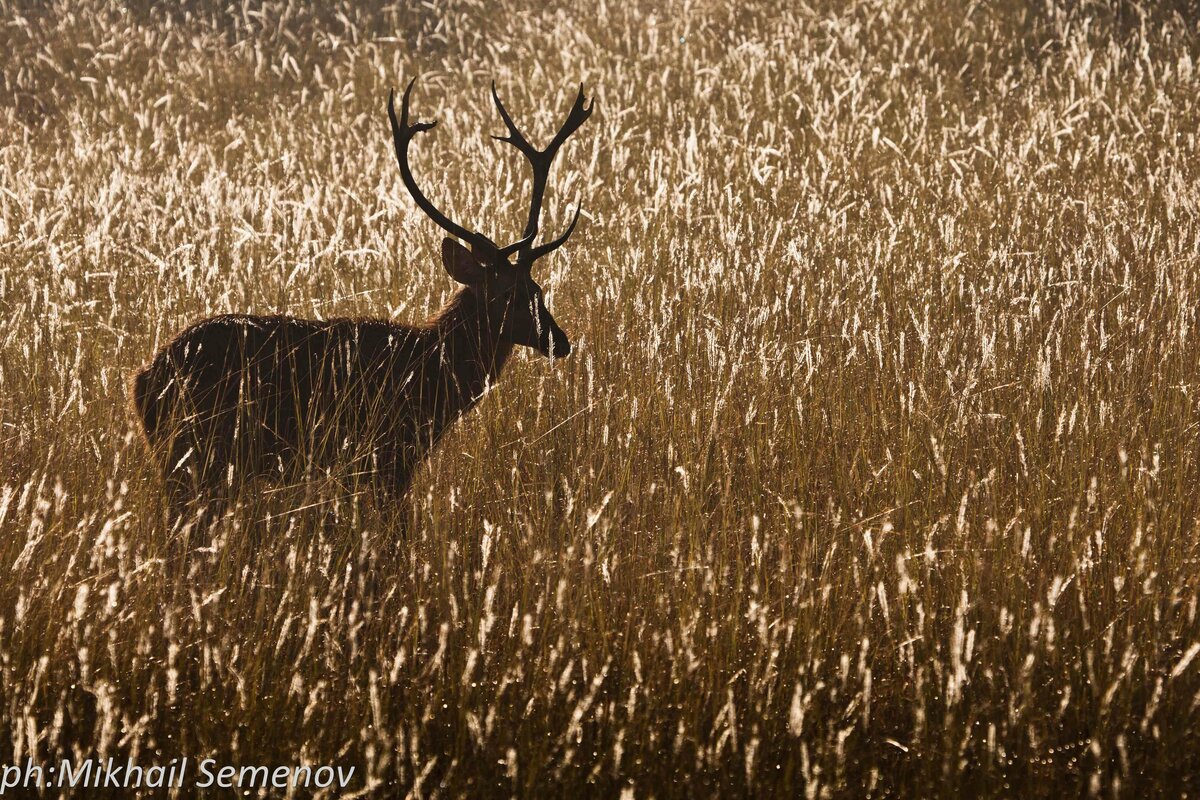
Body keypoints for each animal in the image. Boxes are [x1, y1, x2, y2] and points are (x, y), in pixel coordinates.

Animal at [132, 76, 595, 532]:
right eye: (509, 294)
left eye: (538, 288)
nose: (560, 341)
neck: (430, 371)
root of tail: (143, 381)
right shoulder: (390, 454)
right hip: (198, 455)